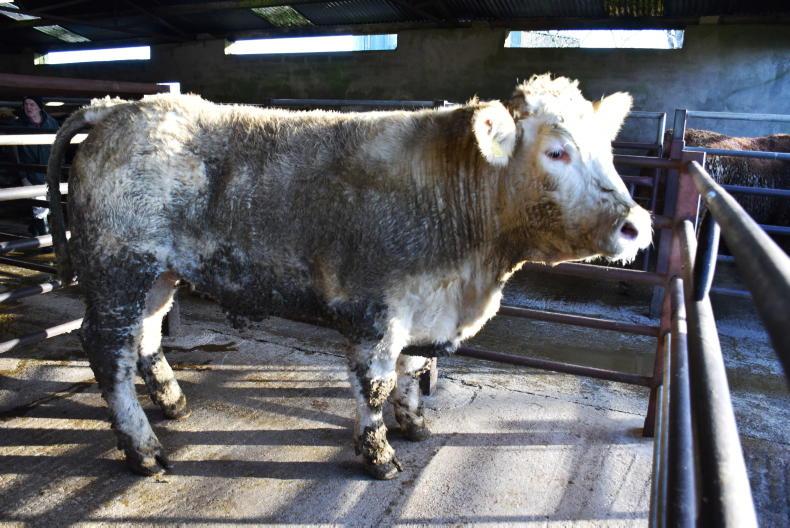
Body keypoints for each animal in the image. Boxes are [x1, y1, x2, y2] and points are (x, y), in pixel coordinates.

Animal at [46, 74, 651, 480]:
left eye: (607, 149)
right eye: (558, 152)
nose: (635, 225)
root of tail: (115, 109)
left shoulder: (423, 308)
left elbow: (416, 367)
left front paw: (413, 424)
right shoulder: (375, 312)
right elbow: (375, 384)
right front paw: (379, 454)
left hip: (158, 274)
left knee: (145, 336)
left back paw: (172, 403)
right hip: (118, 267)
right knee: (107, 349)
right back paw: (143, 449)